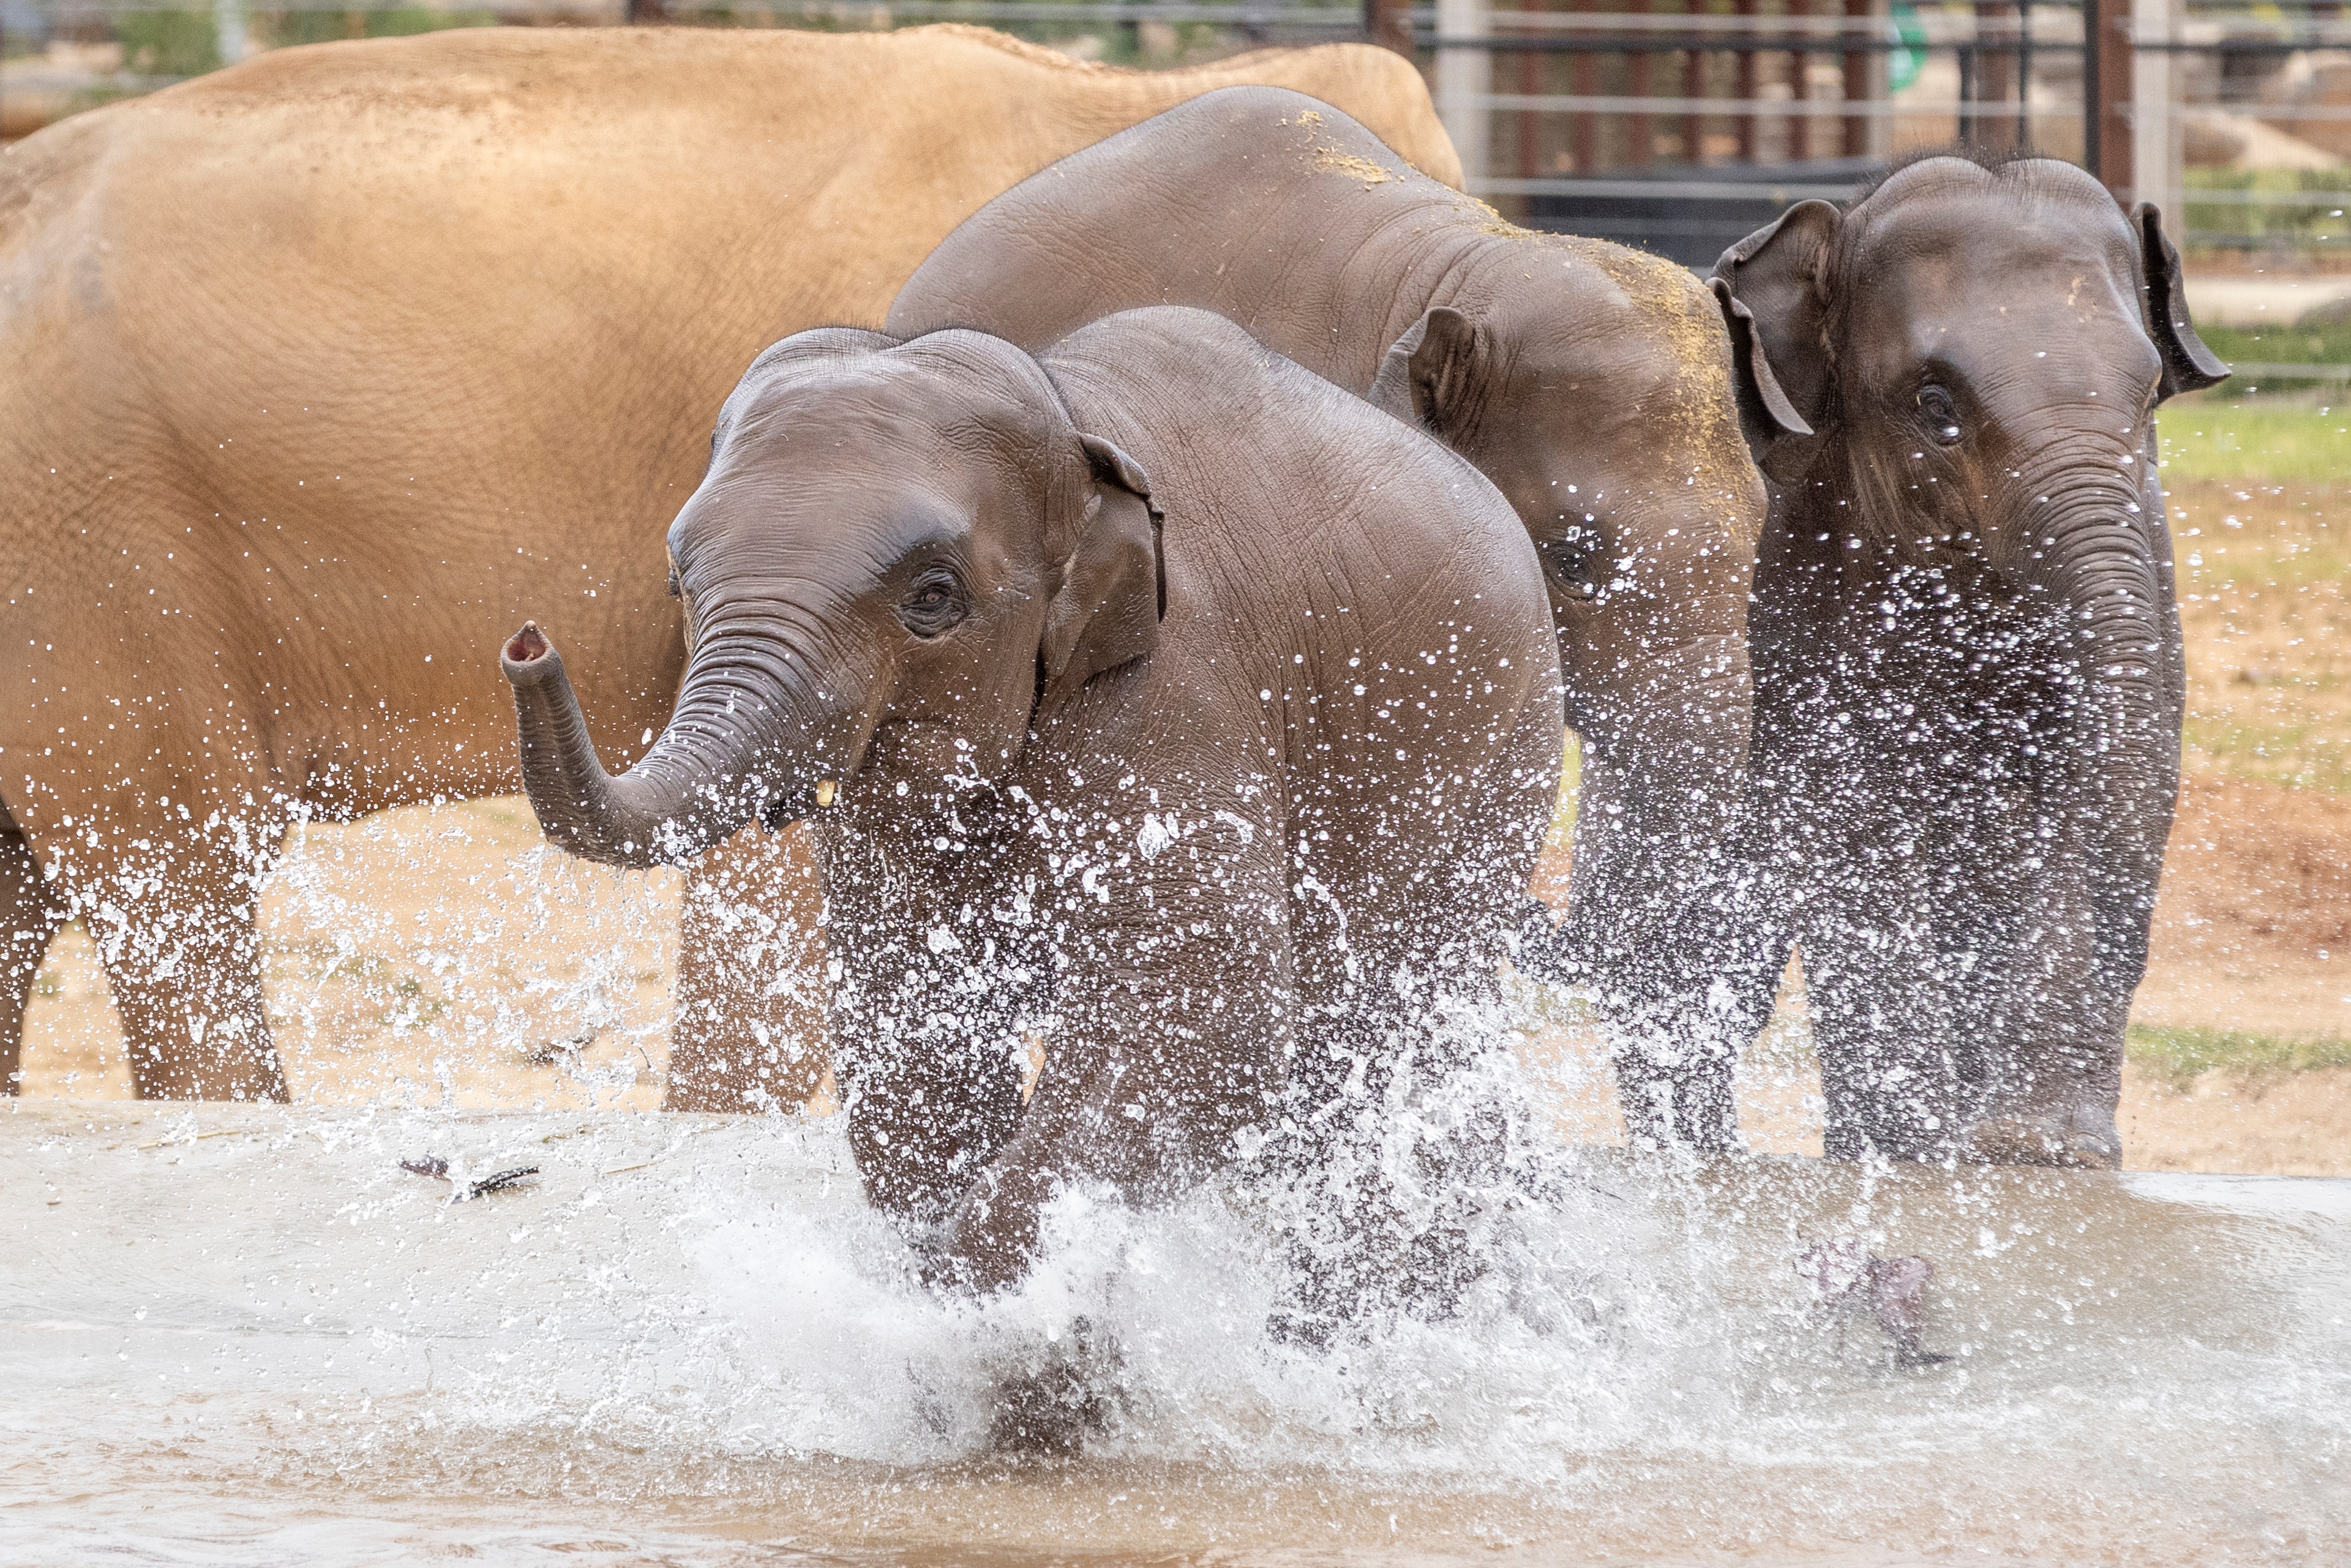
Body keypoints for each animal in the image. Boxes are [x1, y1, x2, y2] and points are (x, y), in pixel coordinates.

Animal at [498, 307, 1565, 1291]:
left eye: (933, 598)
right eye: (679, 582)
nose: (525, 643)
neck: (1073, 427)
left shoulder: (1177, 686)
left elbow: (1203, 998)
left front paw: (983, 1321)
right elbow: (912, 1016)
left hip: (1509, 742)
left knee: (1404, 1023)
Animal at [1666, 150, 2228, 1165]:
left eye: (2146, 402)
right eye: (1936, 408)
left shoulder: (2151, 568)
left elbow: (2098, 782)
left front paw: (2042, 1149)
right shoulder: (1810, 580)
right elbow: (1852, 818)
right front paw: (1915, 1151)